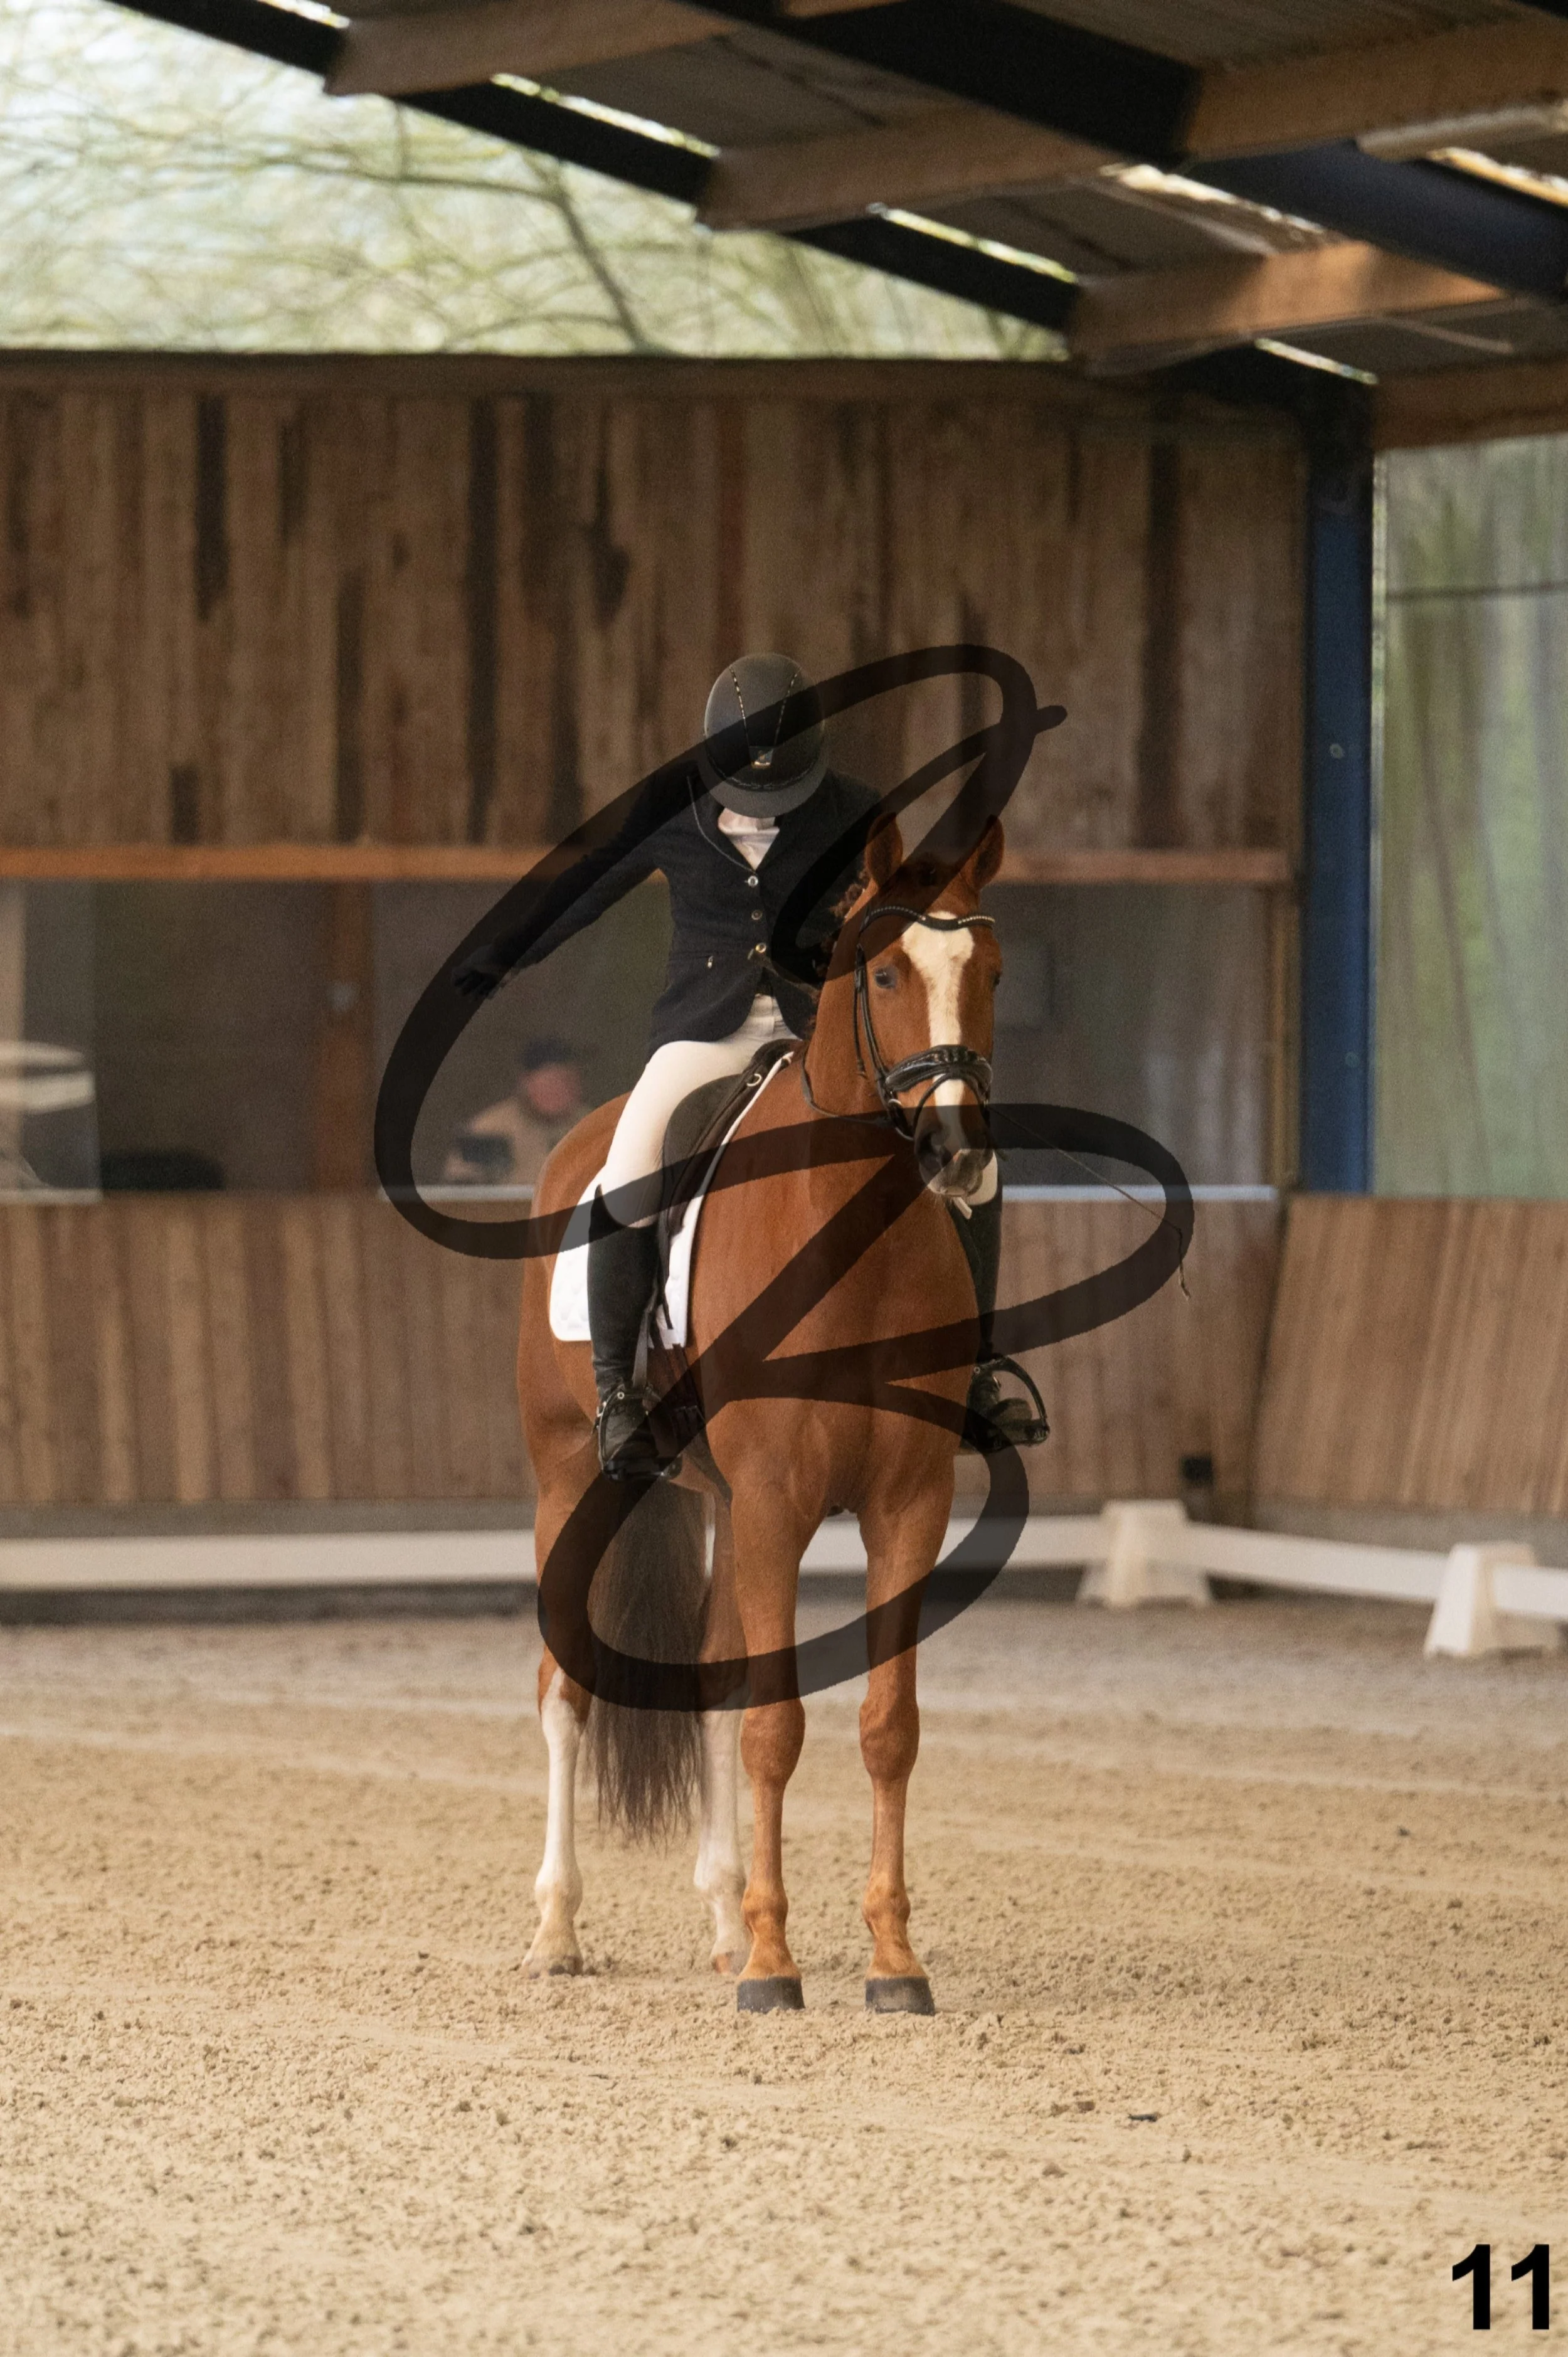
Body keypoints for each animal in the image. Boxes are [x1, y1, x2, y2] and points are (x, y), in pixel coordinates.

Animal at [515, 810, 1007, 2014]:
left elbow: (884, 1728)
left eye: (991, 972)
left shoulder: (904, 1502)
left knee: (714, 1683)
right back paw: (558, 1929)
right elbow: (779, 1728)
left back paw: (726, 1921)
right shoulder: (781, 1501)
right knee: (564, 1688)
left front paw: (890, 1962)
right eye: (884, 972)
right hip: (572, 1481)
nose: (958, 1150)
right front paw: (777, 1972)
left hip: (725, 1507)